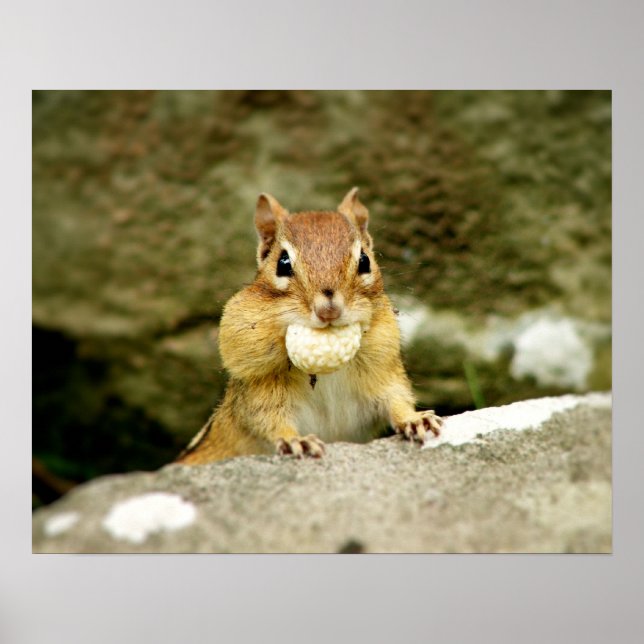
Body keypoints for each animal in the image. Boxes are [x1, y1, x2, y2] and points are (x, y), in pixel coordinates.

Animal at [175, 188, 442, 464]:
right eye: (282, 263)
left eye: (365, 261)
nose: (328, 310)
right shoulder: (259, 389)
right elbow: (268, 420)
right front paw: (296, 441)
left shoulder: (383, 371)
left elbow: (396, 399)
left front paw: (415, 420)